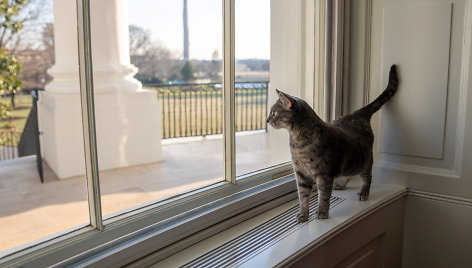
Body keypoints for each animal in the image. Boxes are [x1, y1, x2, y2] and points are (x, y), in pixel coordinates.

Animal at [266, 64, 398, 222]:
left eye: (274, 113)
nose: (266, 120)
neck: (297, 141)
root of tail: (357, 114)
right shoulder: (301, 173)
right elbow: (303, 196)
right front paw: (303, 214)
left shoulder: (324, 174)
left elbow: (323, 196)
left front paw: (322, 212)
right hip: (352, 164)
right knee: (349, 174)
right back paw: (341, 183)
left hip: (365, 161)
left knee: (368, 177)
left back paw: (364, 192)